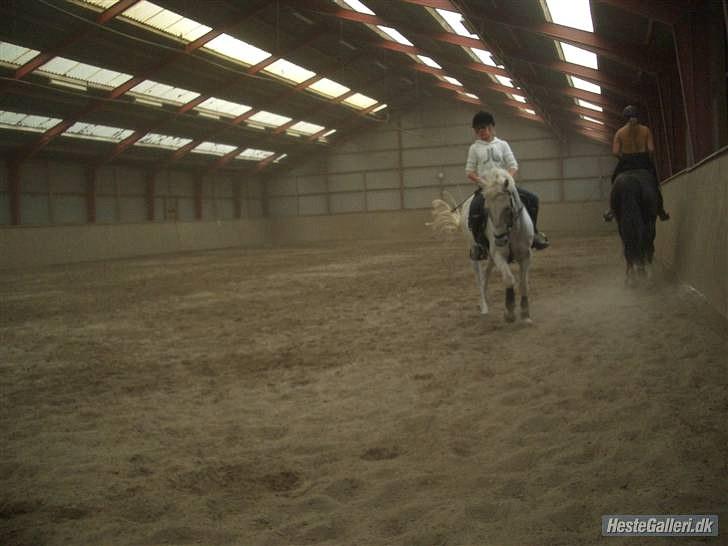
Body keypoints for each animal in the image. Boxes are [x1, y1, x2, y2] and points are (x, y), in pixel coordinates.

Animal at [428, 168, 534, 322]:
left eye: (507, 208)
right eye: (487, 210)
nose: (499, 240)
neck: (513, 231)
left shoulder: (526, 255)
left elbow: (524, 283)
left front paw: (526, 314)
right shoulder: (499, 255)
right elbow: (509, 279)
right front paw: (509, 313)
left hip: (491, 257)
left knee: (486, 273)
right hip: (475, 252)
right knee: (479, 278)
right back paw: (484, 306)